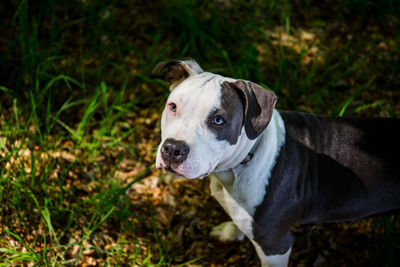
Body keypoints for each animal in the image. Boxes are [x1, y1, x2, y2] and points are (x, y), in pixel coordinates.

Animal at [153, 59, 400, 266]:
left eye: (218, 120)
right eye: (173, 106)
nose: (173, 149)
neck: (241, 164)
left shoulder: (275, 246)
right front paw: (232, 232)